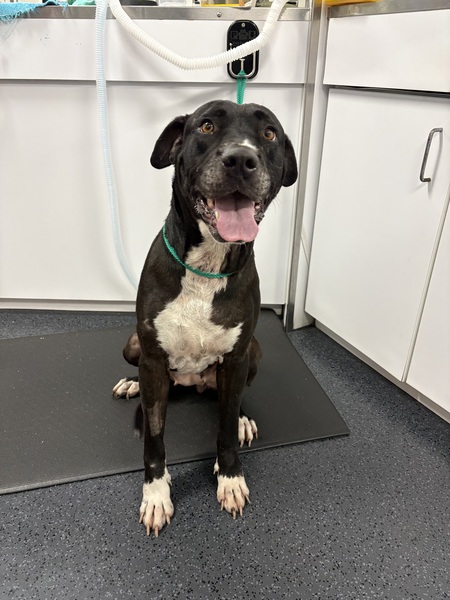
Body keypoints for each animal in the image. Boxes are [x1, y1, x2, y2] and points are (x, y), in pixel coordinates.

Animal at [112, 99, 297, 537]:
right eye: (207, 125)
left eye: (269, 133)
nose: (241, 159)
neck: (206, 265)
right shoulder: (152, 359)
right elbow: (154, 440)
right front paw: (156, 493)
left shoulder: (236, 356)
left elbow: (225, 428)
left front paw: (230, 478)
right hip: (134, 345)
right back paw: (131, 384)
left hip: (253, 352)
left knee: (234, 396)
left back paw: (244, 417)